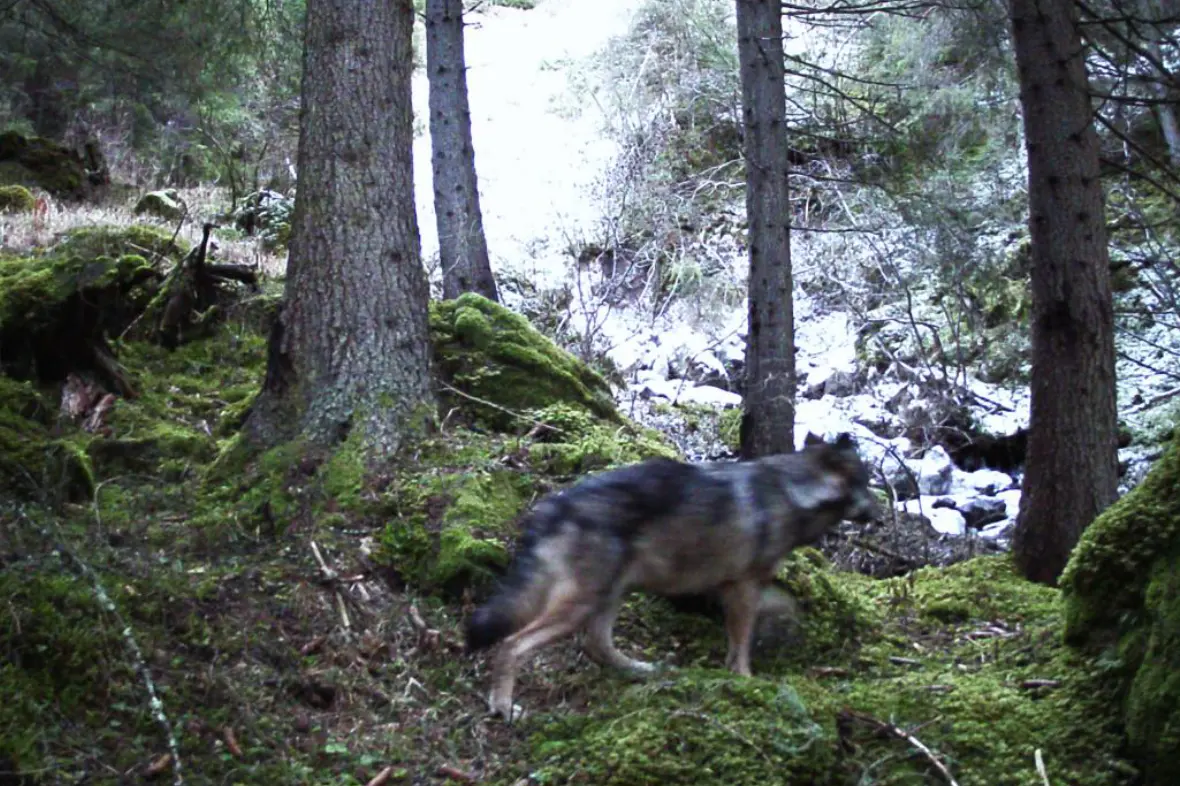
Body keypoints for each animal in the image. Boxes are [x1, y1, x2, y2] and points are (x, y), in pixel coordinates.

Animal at [464, 432, 880, 720]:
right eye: (868, 484)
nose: (879, 515)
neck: (792, 492)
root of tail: (554, 506)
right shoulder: (745, 587)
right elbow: (742, 644)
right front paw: (746, 681)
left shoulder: (733, 589)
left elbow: (737, 641)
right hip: (582, 603)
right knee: (513, 644)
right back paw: (503, 706)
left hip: (611, 593)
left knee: (596, 644)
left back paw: (643, 670)